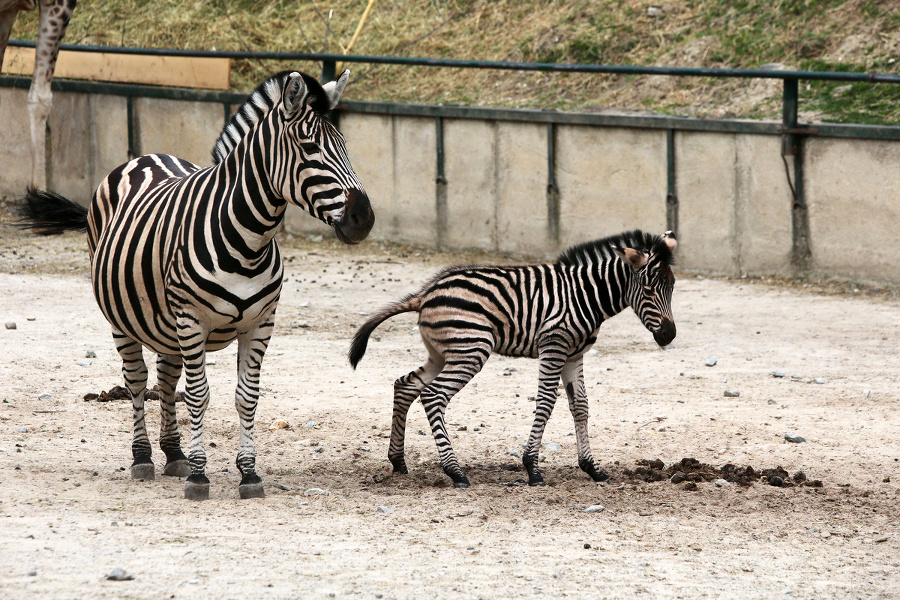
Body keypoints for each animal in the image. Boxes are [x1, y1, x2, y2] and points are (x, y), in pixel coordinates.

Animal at [18, 68, 376, 502]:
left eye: (344, 146)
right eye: (309, 148)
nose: (364, 218)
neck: (249, 241)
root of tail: (143, 156)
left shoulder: (261, 324)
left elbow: (246, 397)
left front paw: (248, 474)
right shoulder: (192, 320)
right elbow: (200, 395)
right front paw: (201, 477)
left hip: (166, 325)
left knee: (166, 379)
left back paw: (173, 453)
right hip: (124, 320)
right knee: (138, 380)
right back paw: (143, 457)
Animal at [350, 230, 676, 488]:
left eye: (672, 286)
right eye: (648, 289)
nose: (669, 335)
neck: (585, 295)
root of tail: (426, 292)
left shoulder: (574, 354)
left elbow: (581, 406)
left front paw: (592, 468)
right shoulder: (554, 346)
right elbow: (545, 403)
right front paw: (532, 468)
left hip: (442, 353)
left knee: (405, 385)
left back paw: (398, 461)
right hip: (471, 350)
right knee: (433, 395)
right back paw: (455, 472)